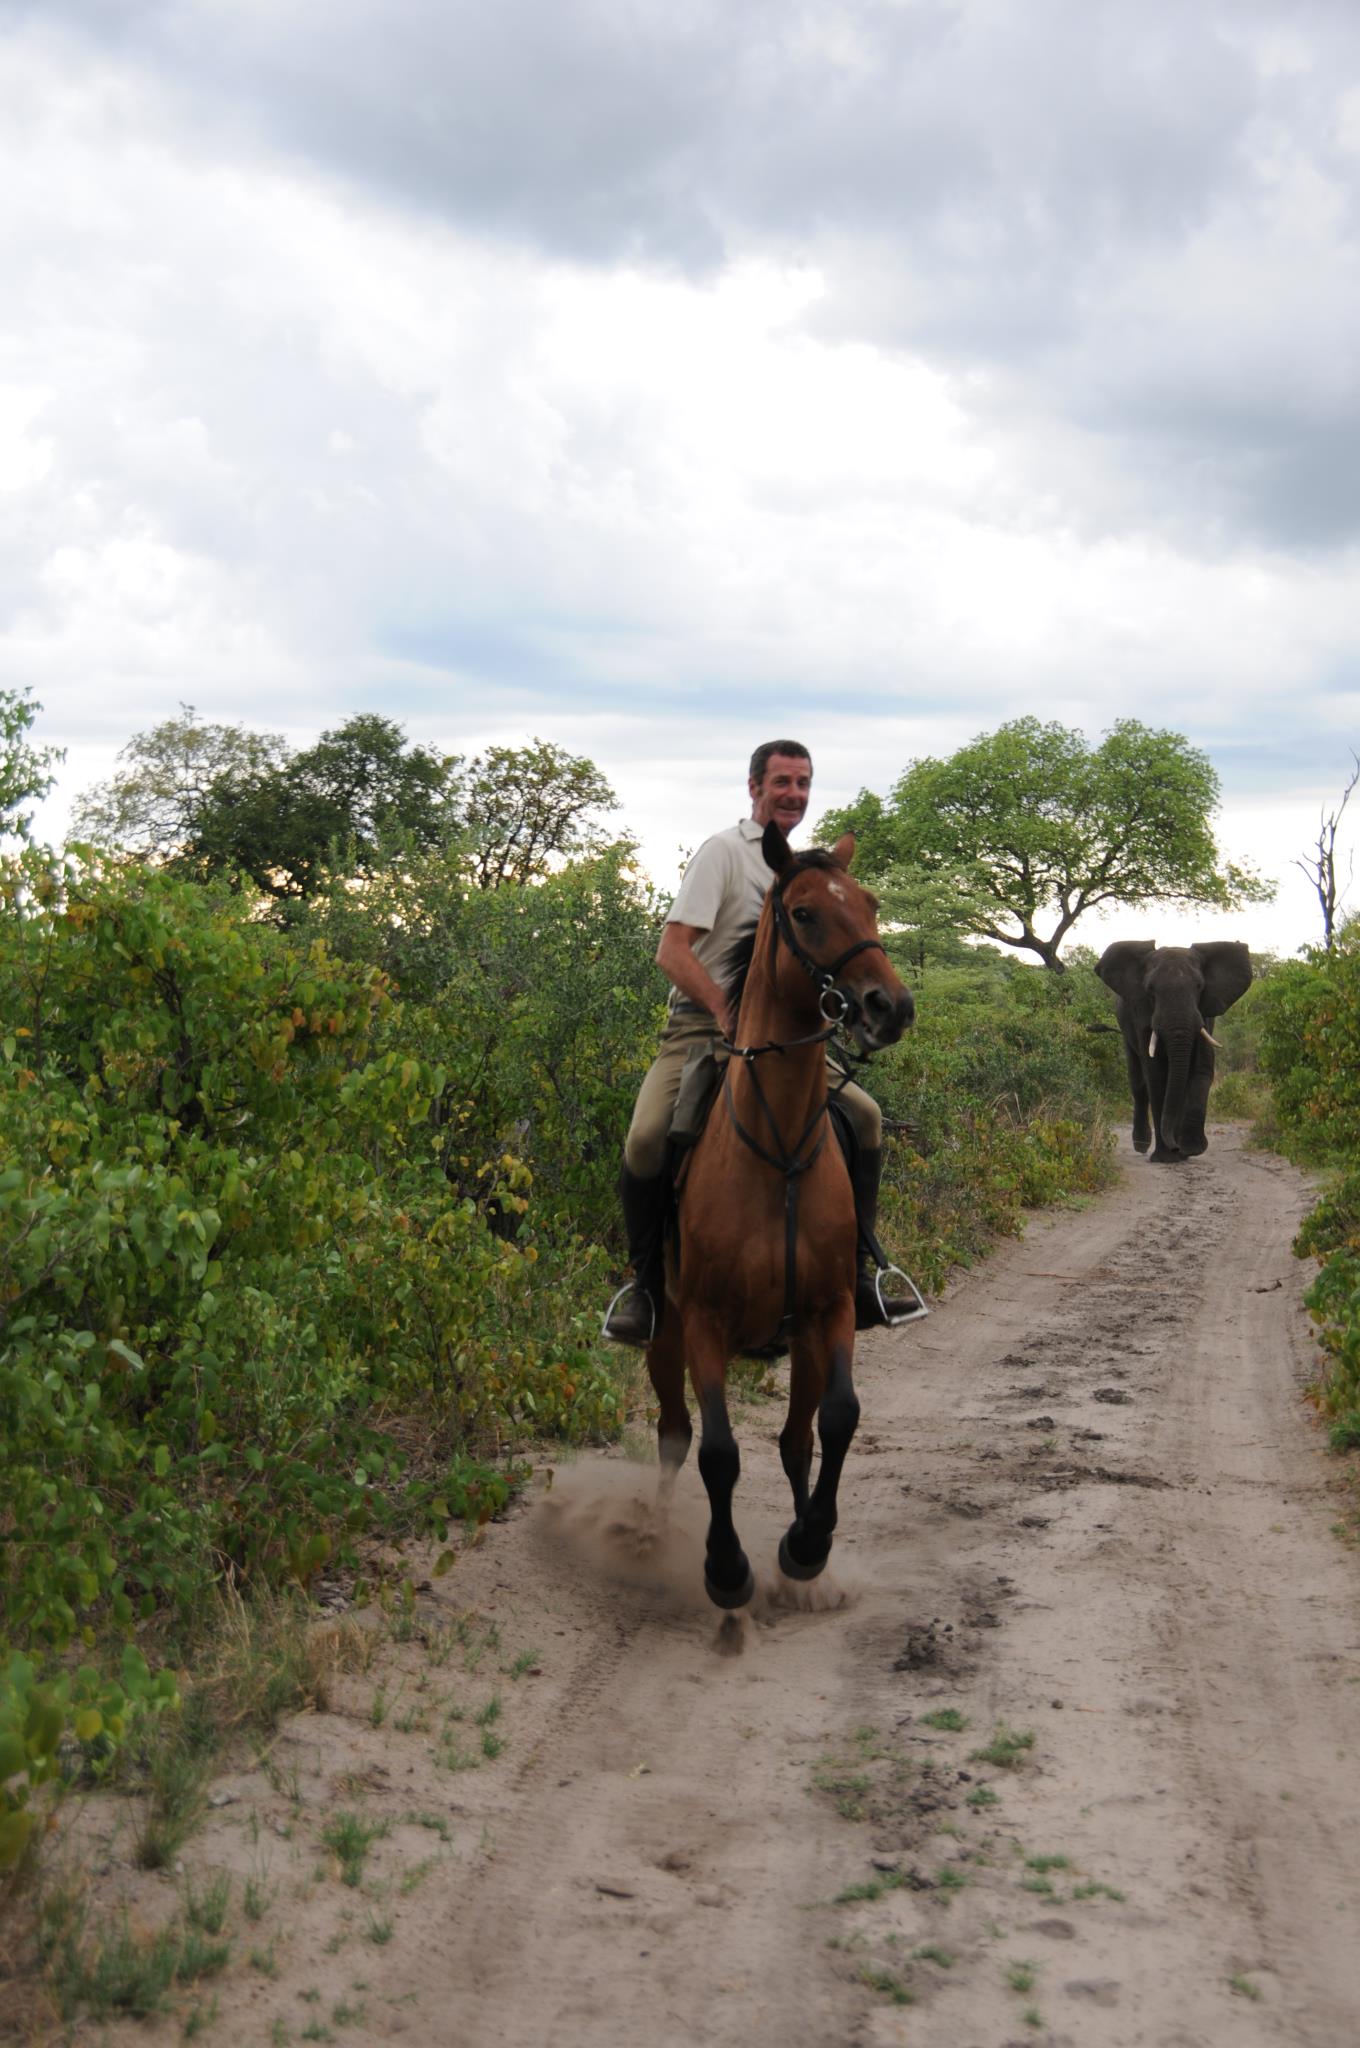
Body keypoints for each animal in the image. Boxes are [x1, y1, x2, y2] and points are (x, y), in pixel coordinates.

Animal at [647, 823, 913, 1605]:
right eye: (804, 913)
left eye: (870, 902)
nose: (891, 1007)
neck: (779, 1151)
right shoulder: (704, 1324)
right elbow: (718, 1451)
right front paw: (725, 1569)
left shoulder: (830, 1311)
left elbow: (839, 1418)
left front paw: (808, 1543)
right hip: (663, 1332)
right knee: (674, 1435)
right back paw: (653, 1537)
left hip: (801, 1340)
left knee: (797, 1438)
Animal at [1097, 937, 1253, 1163]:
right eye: (1150, 989)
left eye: (1199, 987)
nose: (1175, 1147)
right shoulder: (1142, 1015)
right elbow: (1157, 1075)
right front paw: (1166, 1158)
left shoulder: (1205, 1016)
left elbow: (1200, 1070)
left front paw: (1190, 1150)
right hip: (1125, 1028)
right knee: (1138, 1083)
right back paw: (1143, 1146)